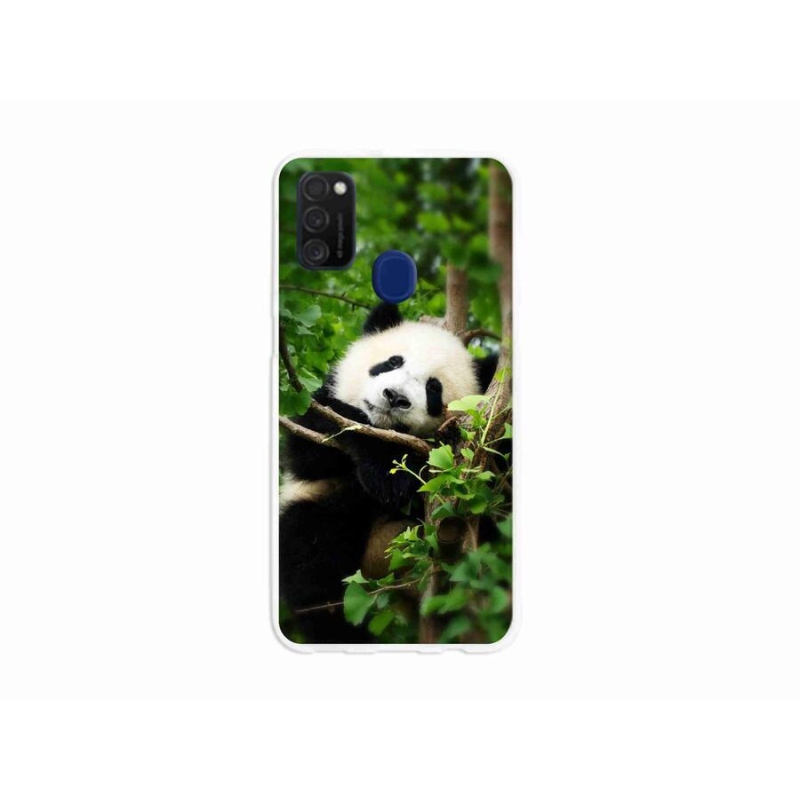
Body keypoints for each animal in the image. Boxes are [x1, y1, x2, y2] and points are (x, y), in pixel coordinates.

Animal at [279, 302, 498, 644]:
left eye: (433, 388)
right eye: (392, 362)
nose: (395, 397)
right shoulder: (314, 411)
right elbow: (310, 452)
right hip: (323, 512)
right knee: (313, 566)